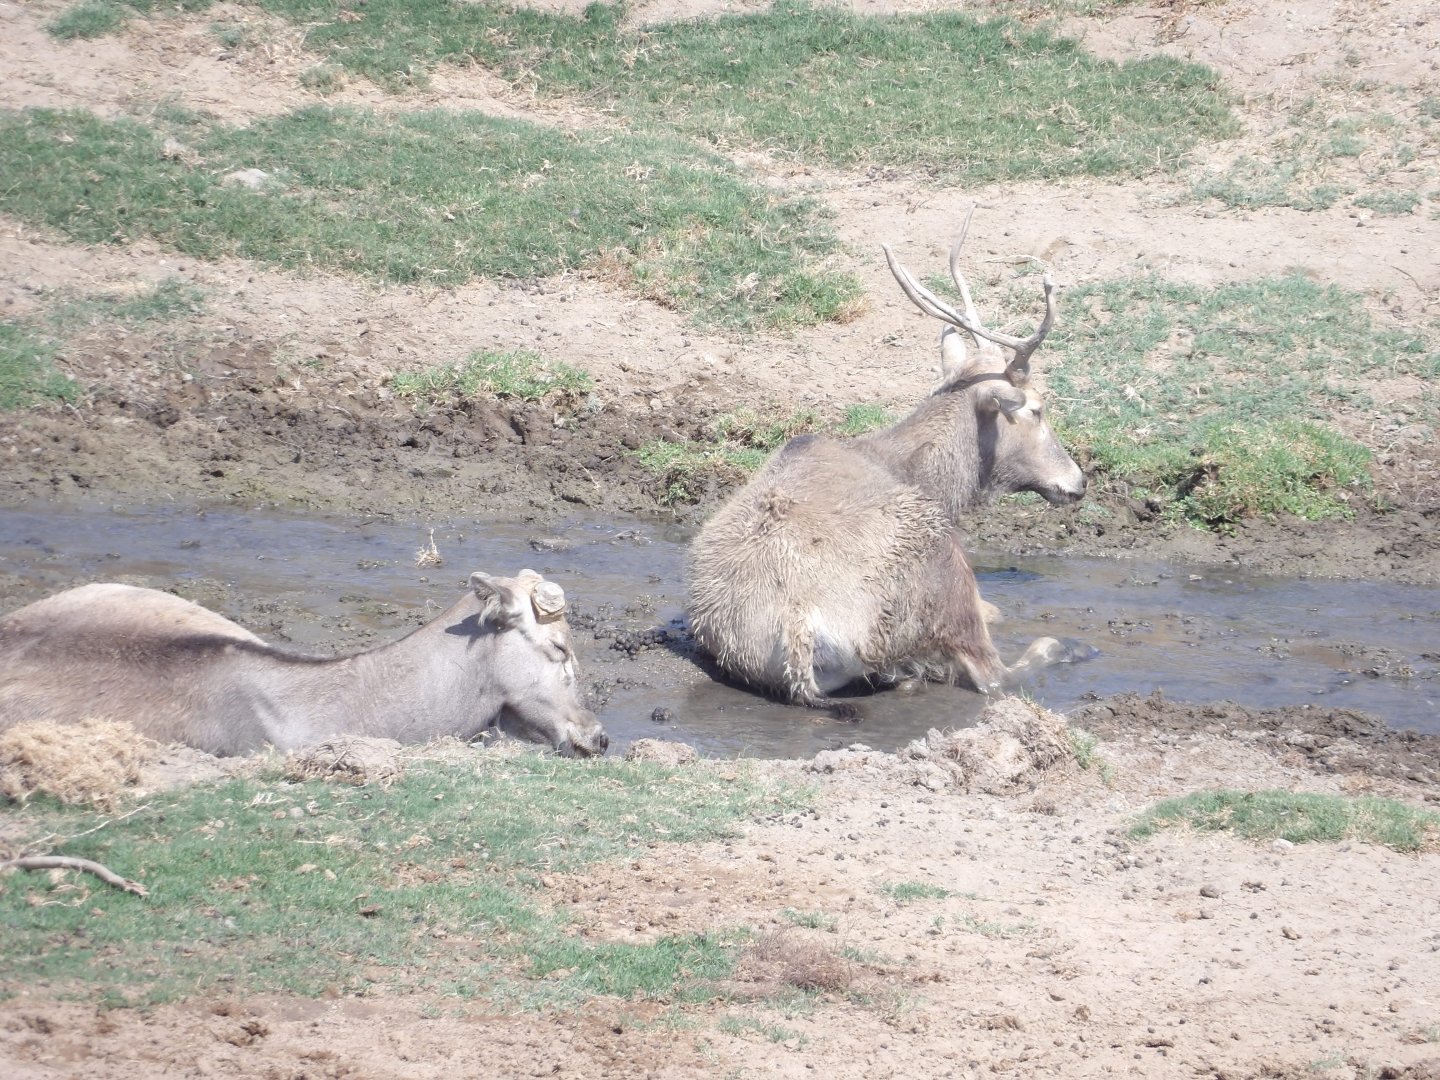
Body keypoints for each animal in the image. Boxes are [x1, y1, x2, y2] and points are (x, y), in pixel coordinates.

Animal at [686, 211, 1088, 713]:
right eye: (1037, 409)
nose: (1077, 481)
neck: (935, 482)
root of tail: (798, 627)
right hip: (944, 575)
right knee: (996, 674)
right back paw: (1069, 648)